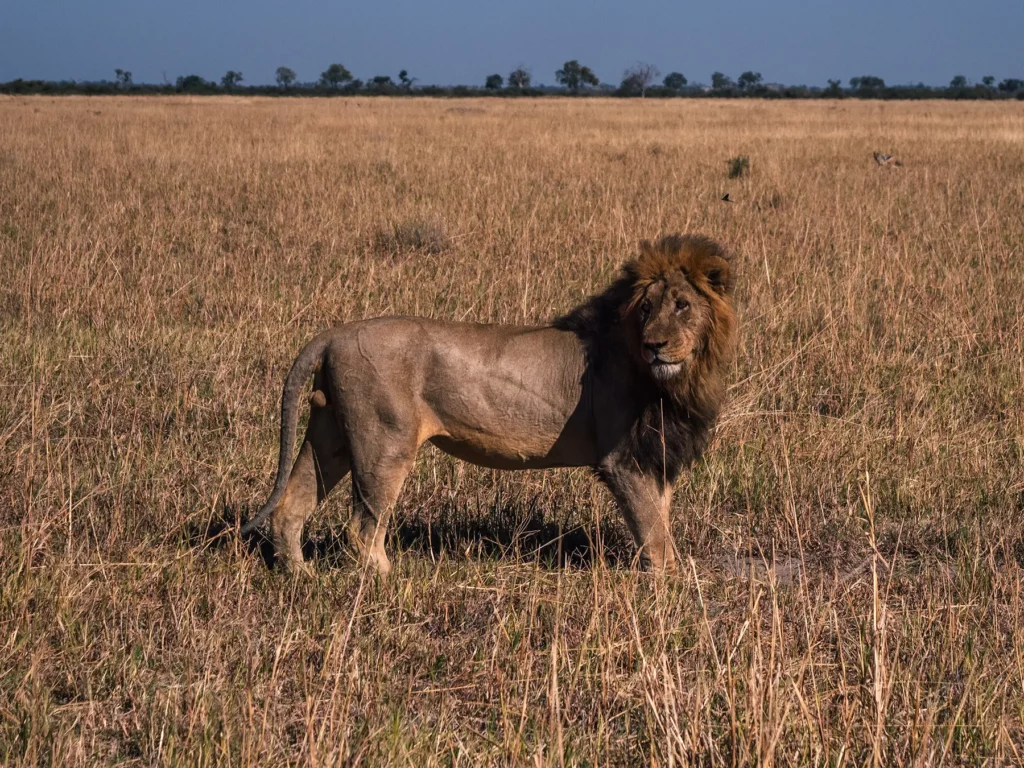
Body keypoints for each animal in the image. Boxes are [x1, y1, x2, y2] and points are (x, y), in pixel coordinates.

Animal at [242, 234, 737, 576]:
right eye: (646, 308)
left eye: (682, 305)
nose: (656, 346)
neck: (681, 379)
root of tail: (332, 335)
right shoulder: (622, 460)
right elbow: (654, 534)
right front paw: (671, 589)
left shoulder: (657, 455)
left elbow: (661, 520)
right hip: (383, 444)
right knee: (361, 532)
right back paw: (389, 582)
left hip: (331, 435)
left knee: (290, 507)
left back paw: (302, 577)